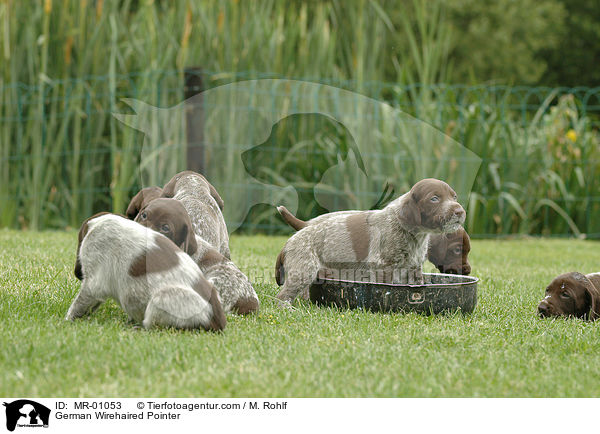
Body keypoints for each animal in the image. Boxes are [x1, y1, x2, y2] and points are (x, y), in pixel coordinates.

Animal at [65, 212, 225, 330]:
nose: (77, 274)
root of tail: (220, 323)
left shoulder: (93, 283)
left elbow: (78, 305)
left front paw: (66, 322)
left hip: (161, 298)